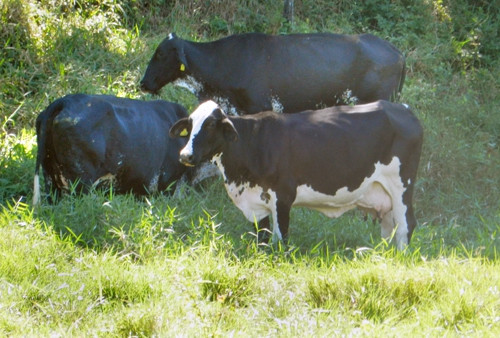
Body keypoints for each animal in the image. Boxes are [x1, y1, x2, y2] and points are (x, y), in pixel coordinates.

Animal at [170, 100, 424, 248]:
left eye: (211, 124)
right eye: (190, 125)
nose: (184, 155)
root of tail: (401, 108)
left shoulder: (283, 195)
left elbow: (281, 238)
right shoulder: (256, 202)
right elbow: (263, 237)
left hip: (401, 185)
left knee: (406, 225)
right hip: (383, 195)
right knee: (389, 228)